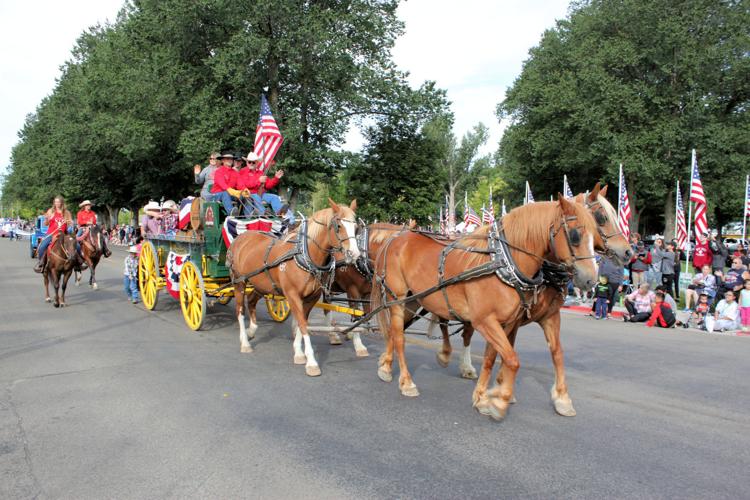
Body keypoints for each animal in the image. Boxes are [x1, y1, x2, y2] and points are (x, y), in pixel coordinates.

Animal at [226, 197, 362, 376]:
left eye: (356, 227)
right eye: (338, 226)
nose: (355, 255)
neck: (305, 254)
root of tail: (240, 238)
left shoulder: (311, 298)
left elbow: (300, 323)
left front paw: (298, 353)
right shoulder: (293, 295)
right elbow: (303, 324)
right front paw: (311, 362)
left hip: (260, 284)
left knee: (252, 301)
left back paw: (252, 330)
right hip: (239, 282)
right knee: (240, 310)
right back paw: (245, 342)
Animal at [374, 197, 604, 420]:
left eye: (595, 234)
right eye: (575, 235)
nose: (590, 279)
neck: (503, 263)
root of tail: (395, 238)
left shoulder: (506, 322)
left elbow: (492, 358)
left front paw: (483, 397)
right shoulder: (484, 320)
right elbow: (512, 360)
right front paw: (500, 401)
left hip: (414, 299)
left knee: (397, 332)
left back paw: (387, 365)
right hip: (397, 298)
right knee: (399, 337)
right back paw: (406, 381)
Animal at [434, 186, 636, 416]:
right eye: (602, 217)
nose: (628, 252)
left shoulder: (547, 316)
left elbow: (556, 352)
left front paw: (561, 398)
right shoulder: (511, 318)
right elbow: (502, 351)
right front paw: (501, 391)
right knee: (450, 324)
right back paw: (452, 358)